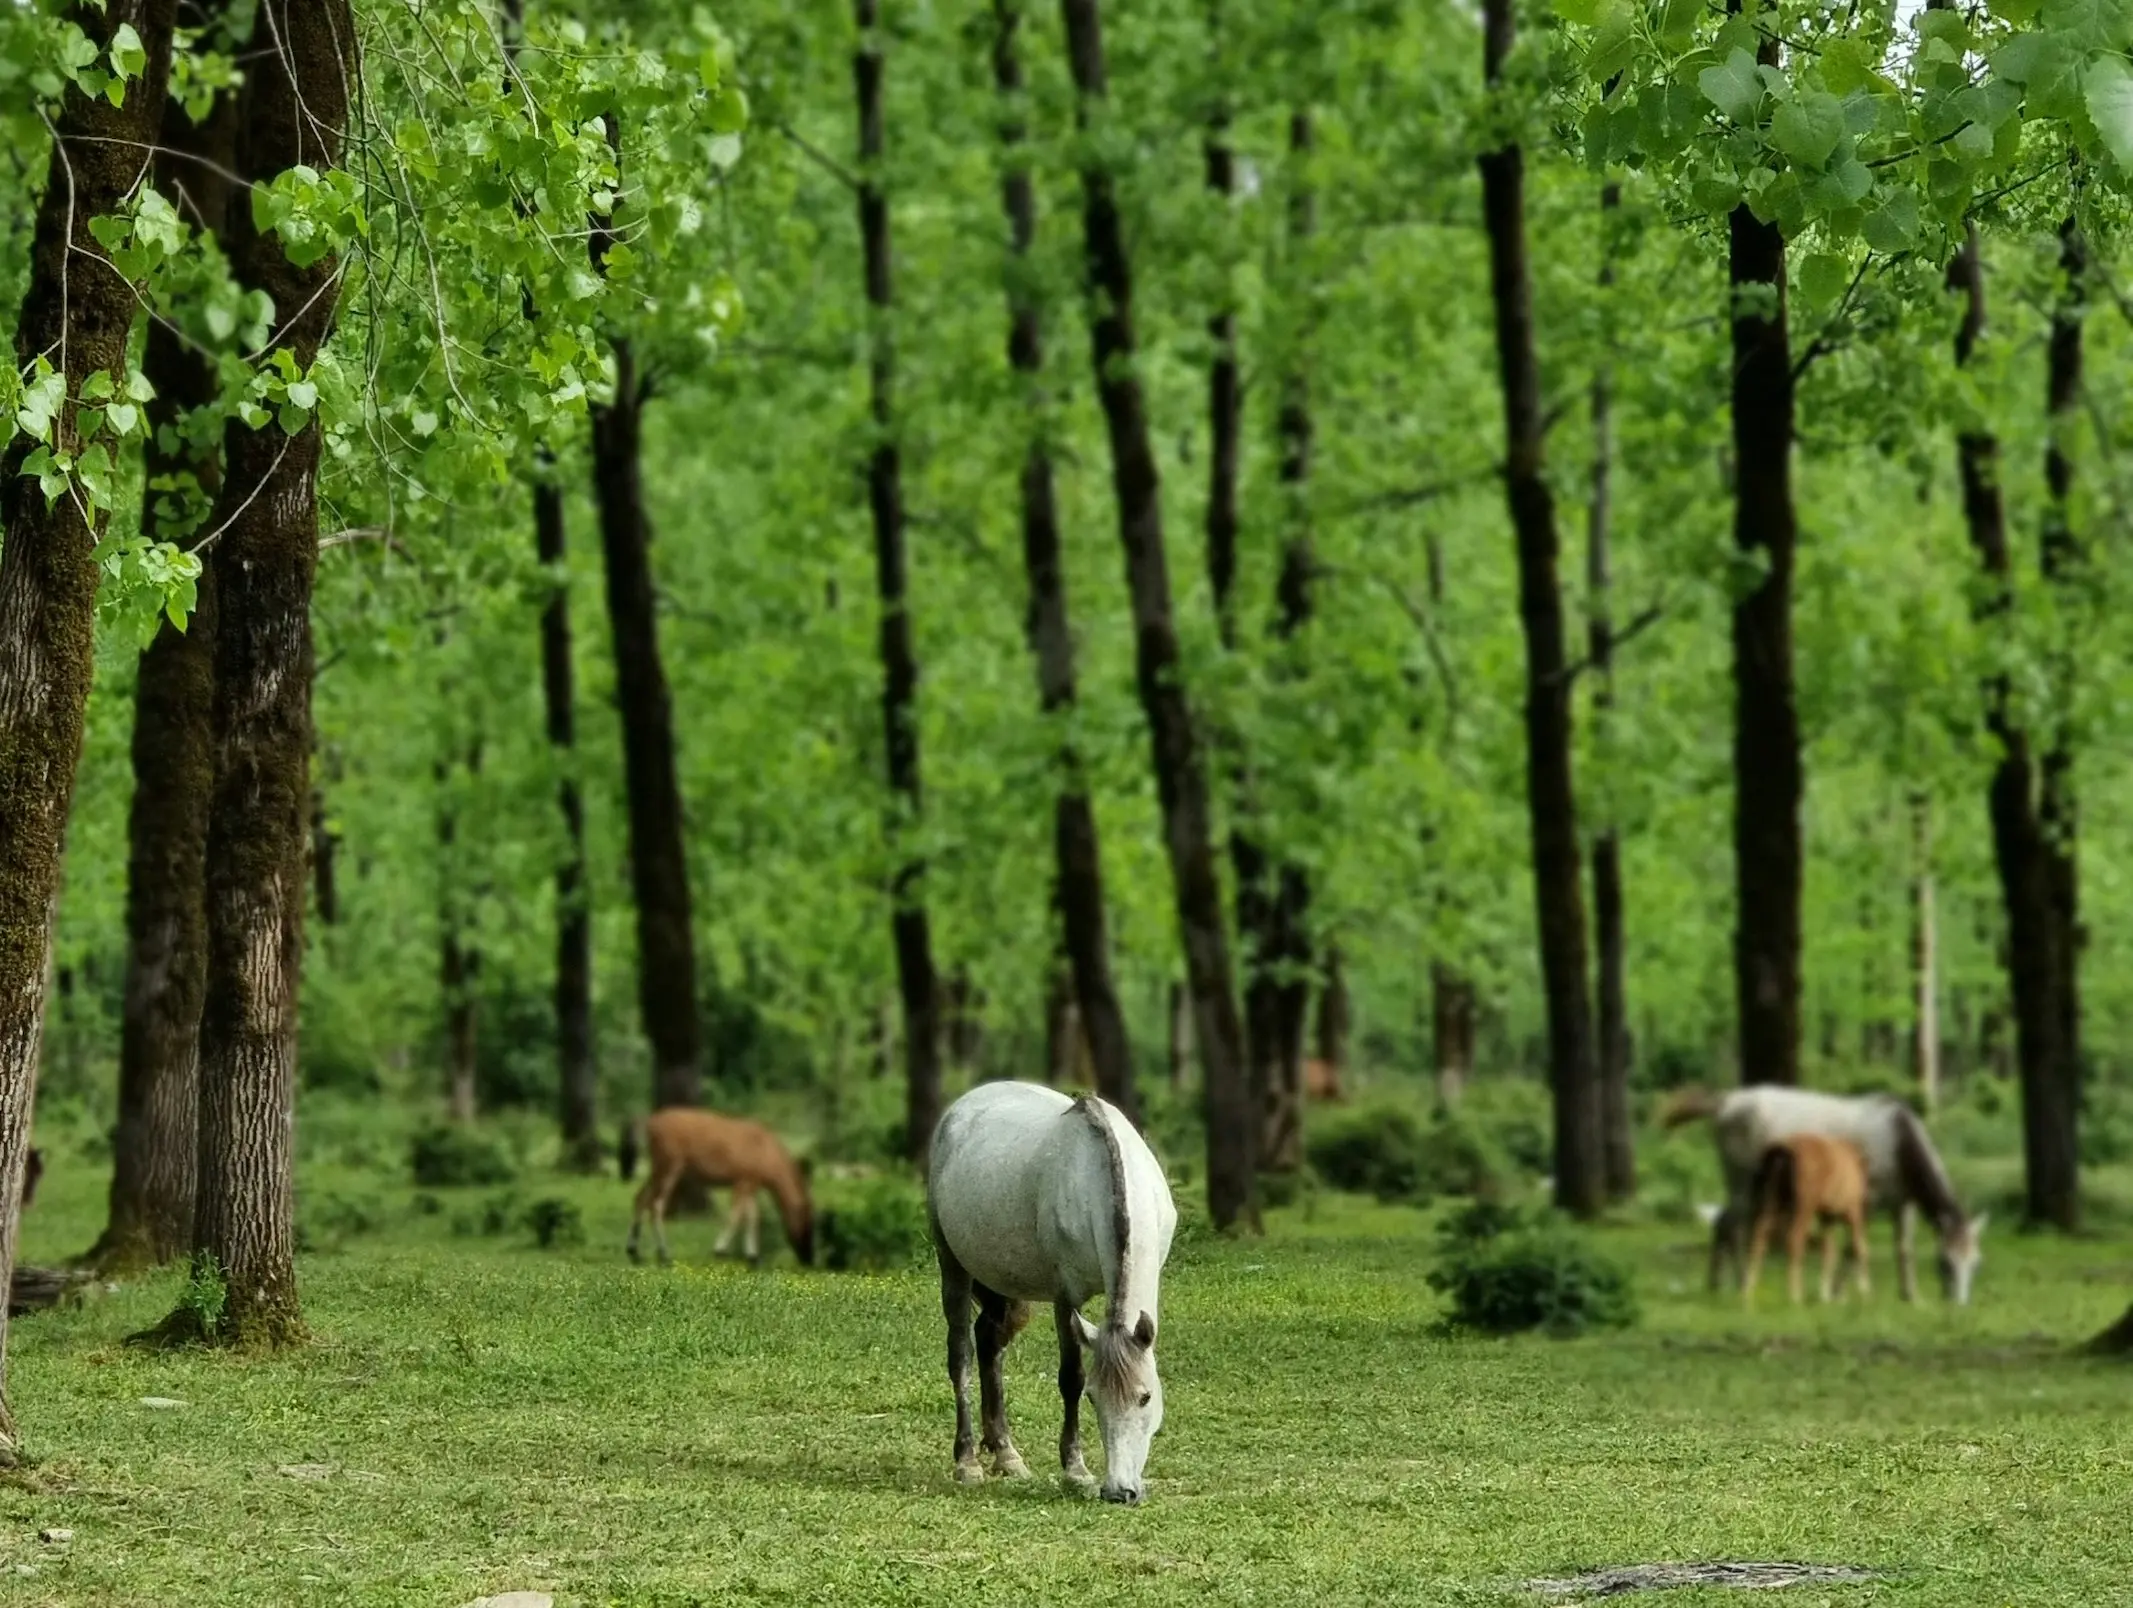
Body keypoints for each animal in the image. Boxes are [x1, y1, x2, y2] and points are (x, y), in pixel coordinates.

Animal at [622, 1100, 814, 1262]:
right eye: (807, 1218)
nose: (808, 1257)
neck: (769, 1155)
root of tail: (650, 1122)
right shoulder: (743, 1181)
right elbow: (736, 1215)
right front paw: (720, 1250)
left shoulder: (751, 1183)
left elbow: (752, 1217)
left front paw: (752, 1256)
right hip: (669, 1166)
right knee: (656, 1204)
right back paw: (664, 1253)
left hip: (658, 1168)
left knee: (640, 1197)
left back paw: (633, 1250)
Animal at [925, 1079, 1177, 1501]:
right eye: (1094, 1397)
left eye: (1145, 1397)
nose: (1119, 1492)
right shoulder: (1065, 1296)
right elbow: (1070, 1377)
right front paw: (1075, 1470)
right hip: (953, 1265)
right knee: (962, 1354)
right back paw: (968, 1462)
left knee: (990, 1343)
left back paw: (1007, 1456)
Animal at [1740, 1126, 1877, 1305]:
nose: (1839, 1295)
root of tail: (1783, 1149)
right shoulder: (1853, 1214)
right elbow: (1858, 1248)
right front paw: (1865, 1291)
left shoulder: (1827, 1218)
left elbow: (1829, 1251)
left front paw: (1825, 1295)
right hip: (1804, 1209)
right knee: (1794, 1241)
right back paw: (1795, 1296)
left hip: (1769, 1206)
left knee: (1758, 1238)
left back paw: (1748, 1293)